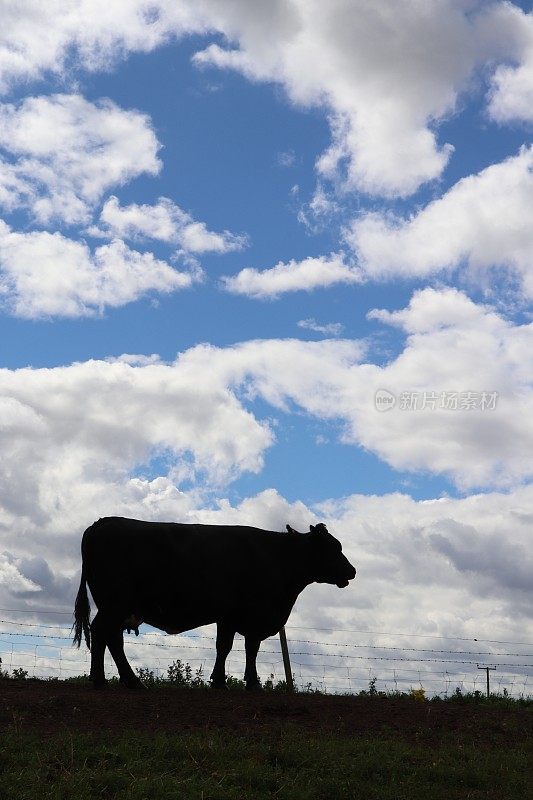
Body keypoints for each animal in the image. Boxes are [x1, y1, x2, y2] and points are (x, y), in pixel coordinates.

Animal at [70, 520, 354, 688]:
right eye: (334, 548)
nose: (352, 571)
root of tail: (102, 522)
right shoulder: (241, 614)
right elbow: (235, 647)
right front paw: (235, 682)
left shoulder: (236, 617)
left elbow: (239, 648)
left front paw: (235, 681)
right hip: (115, 604)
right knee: (104, 634)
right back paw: (110, 681)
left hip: (117, 607)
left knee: (110, 638)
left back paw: (119, 681)